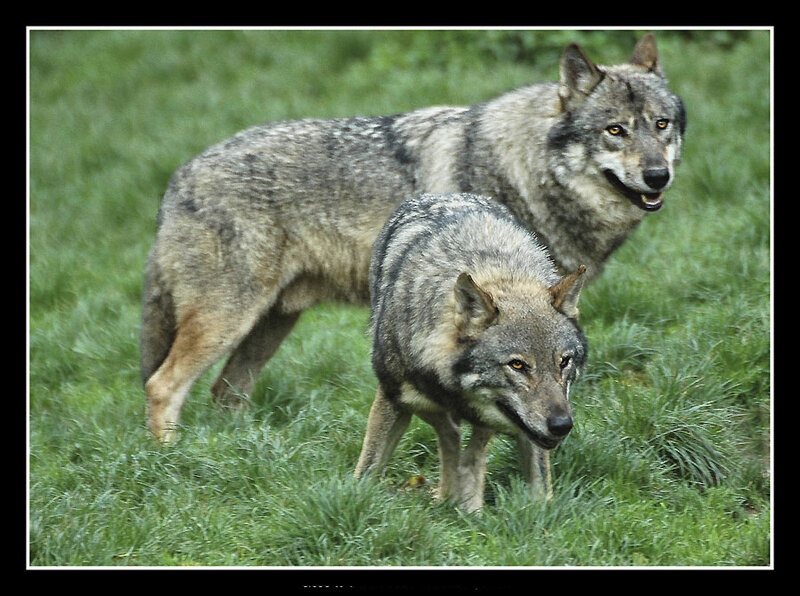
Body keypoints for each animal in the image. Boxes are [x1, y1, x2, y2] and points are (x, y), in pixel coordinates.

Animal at [141, 34, 684, 441]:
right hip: (228, 320)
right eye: (615, 131)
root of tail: (178, 179)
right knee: (162, 385)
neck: (525, 169)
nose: (658, 176)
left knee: (224, 392)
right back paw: (172, 461)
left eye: (661, 125)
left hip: (269, 324)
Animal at [354, 193, 587, 511]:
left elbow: (536, 482)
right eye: (517, 365)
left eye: (564, 362)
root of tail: (443, 194)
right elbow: (366, 471)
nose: (562, 425)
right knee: (449, 434)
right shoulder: (393, 398)